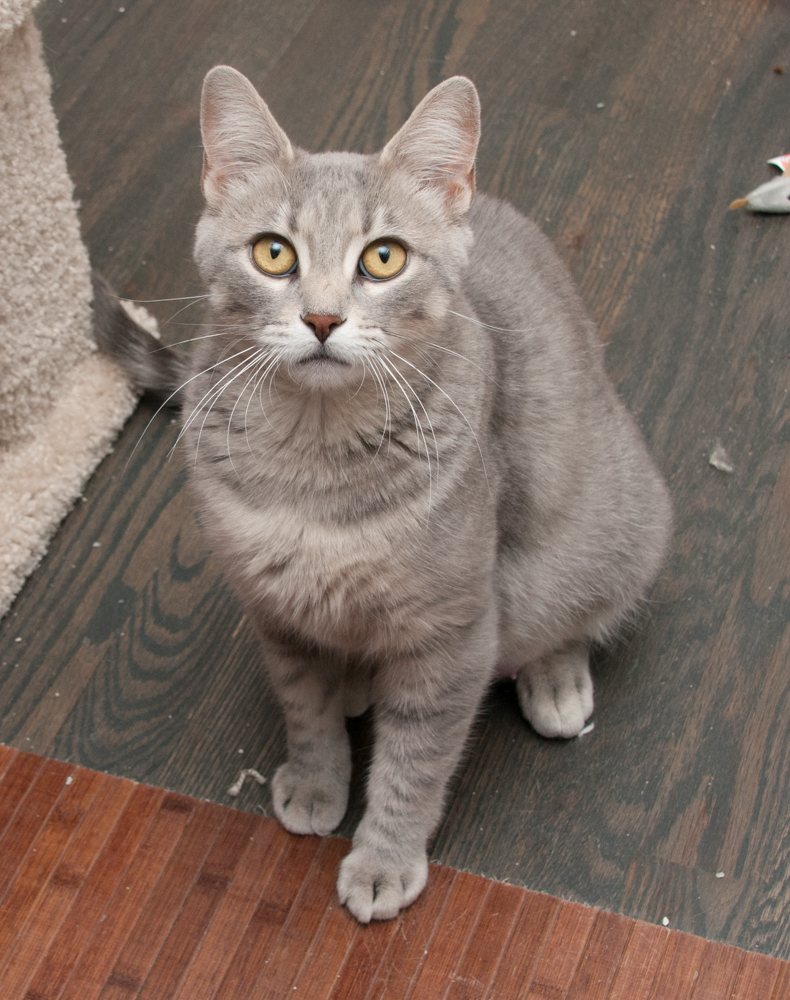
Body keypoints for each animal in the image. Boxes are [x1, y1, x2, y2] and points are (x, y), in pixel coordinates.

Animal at [96, 64, 672, 920]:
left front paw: (385, 857)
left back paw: (555, 677)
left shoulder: (453, 632)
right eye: (273, 253)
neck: (314, 461)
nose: (322, 318)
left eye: (385, 258)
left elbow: (415, 762)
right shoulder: (276, 609)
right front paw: (317, 777)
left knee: (569, 615)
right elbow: (303, 709)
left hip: (609, 526)